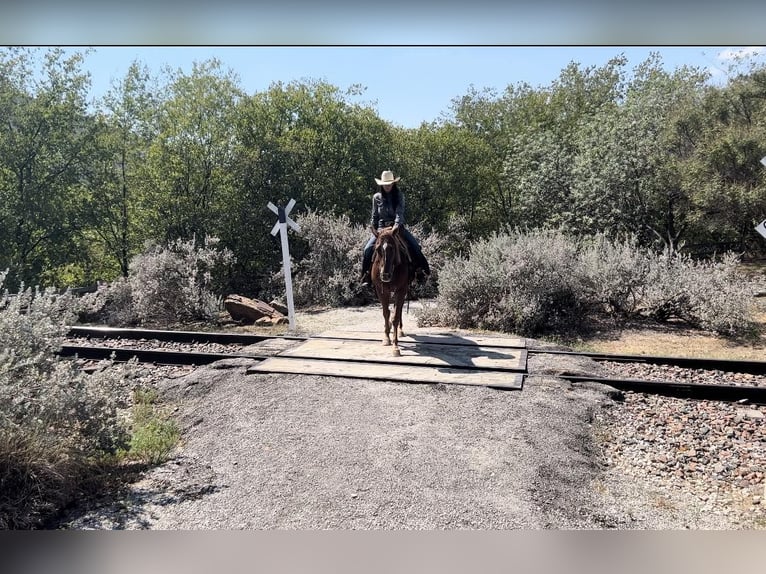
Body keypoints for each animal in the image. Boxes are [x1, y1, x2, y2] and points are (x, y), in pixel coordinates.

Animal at [370, 225, 414, 356]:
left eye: (393, 248)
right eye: (377, 249)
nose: (385, 275)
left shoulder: (401, 290)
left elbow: (395, 316)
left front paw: (395, 346)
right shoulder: (382, 290)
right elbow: (386, 313)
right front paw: (386, 338)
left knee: (399, 311)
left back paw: (400, 330)